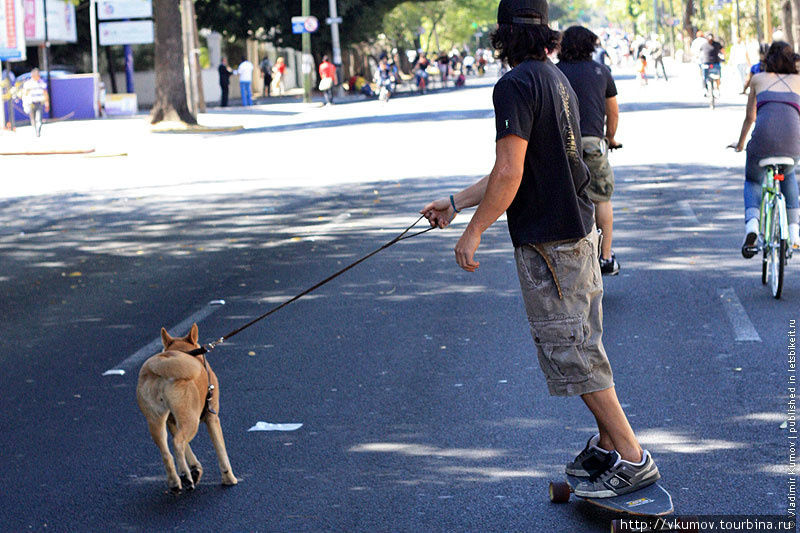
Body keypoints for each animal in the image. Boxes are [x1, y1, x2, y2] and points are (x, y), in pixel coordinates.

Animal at [137, 322, 238, 492]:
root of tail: (162, 363)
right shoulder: (212, 418)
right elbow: (221, 450)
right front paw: (229, 478)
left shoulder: (172, 422)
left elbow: (188, 450)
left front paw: (195, 469)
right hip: (191, 420)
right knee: (177, 443)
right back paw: (184, 475)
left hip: (157, 421)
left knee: (167, 452)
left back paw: (175, 482)